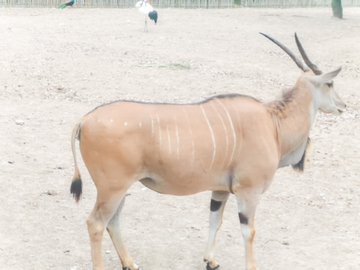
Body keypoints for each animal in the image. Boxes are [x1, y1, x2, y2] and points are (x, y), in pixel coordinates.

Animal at [70, 33, 346, 270]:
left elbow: (216, 221)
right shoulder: (248, 192)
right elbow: (249, 231)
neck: (273, 123)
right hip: (112, 189)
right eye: (330, 83)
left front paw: (210, 260)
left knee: (112, 222)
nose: (343, 105)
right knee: (96, 224)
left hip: (119, 190)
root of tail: (85, 119)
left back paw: (130, 263)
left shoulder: (220, 190)